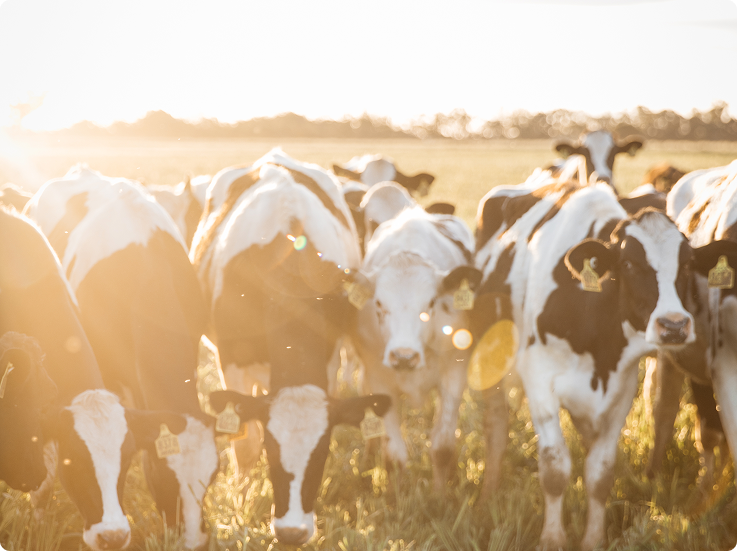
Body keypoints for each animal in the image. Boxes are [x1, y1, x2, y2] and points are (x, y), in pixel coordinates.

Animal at [190, 149, 391, 545]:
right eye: (273, 448)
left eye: (322, 450)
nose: (293, 532)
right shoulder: (231, 361)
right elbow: (244, 441)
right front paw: (241, 501)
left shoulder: (329, 358)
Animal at [350, 206, 480, 491]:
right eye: (379, 303)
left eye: (430, 302)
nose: (403, 357)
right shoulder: (380, 384)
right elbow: (394, 455)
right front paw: (396, 495)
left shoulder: (454, 377)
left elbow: (442, 447)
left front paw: (440, 494)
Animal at [473, 180, 725, 551]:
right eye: (630, 264)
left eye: (688, 263)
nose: (674, 325)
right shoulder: (539, 381)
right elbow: (555, 469)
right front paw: (553, 538)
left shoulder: (620, 390)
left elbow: (600, 473)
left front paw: (593, 537)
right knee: (495, 428)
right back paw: (487, 493)